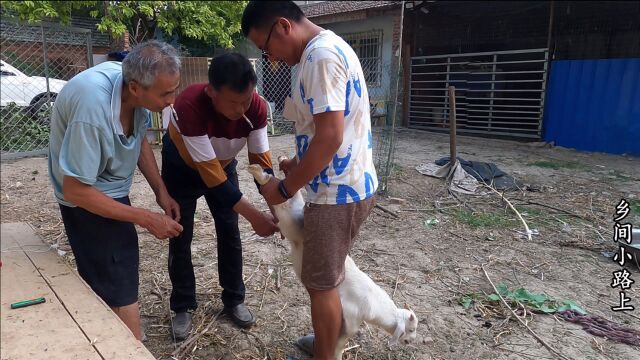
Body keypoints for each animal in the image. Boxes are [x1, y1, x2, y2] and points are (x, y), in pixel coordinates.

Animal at [246, 164, 420, 360]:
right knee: (281, 198)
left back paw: (274, 166)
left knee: (292, 195)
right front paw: (335, 354)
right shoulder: (351, 316)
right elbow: (341, 340)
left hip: (294, 216)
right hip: (291, 223)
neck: (376, 305)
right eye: (410, 329)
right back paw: (260, 174)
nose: (411, 342)